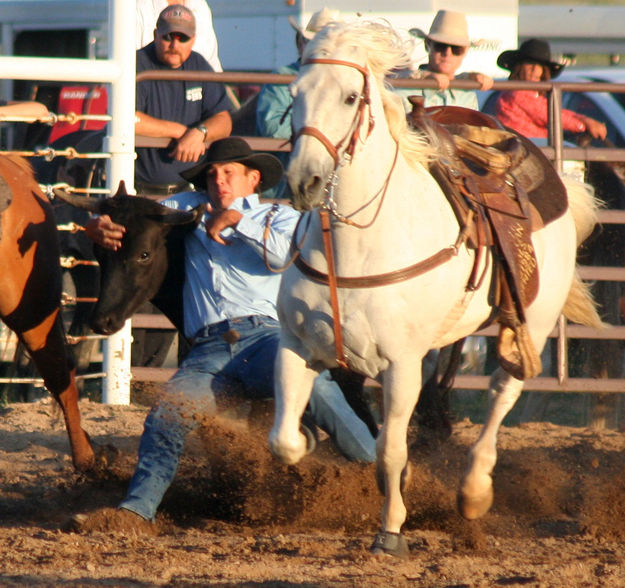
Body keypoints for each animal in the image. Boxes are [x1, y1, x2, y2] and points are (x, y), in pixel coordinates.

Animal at [268, 21, 600, 556]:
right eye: (294, 94)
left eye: (349, 96)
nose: (304, 182)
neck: (355, 246)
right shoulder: (296, 346)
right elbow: (283, 440)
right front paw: (314, 442)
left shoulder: (400, 363)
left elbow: (389, 448)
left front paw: (391, 530)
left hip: (532, 322)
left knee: (501, 392)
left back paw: (474, 492)